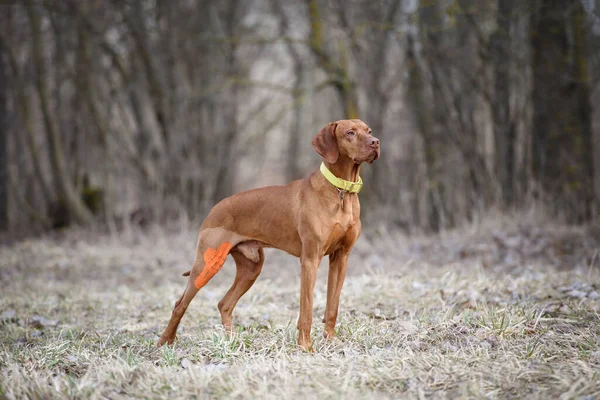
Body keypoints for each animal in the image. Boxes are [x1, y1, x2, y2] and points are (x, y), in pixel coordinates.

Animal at [156, 119, 380, 350]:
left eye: (369, 131)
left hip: (251, 268)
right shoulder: (310, 259)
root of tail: (214, 209)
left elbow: (332, 307)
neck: (342, 191)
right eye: (350, 133)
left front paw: (330, 342)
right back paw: (165, 342)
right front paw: (305, 347)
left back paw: (233, 341)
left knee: (224, 304)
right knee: (180, 304)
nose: (376, 142)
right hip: (206, 265)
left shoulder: (341, 258)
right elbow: (306, 310)